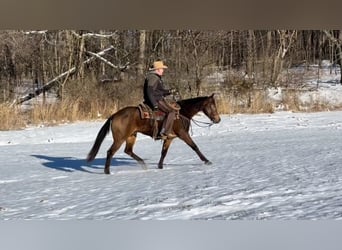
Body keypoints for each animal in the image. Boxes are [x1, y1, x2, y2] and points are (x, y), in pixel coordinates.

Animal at [87, 94, 220, 174]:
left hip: (131, 136)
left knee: (128, 151)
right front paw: (206, 161)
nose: (218, 119)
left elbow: (164, 152)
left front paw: (160, 166)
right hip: (120, 138)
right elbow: (194, 146)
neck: (182, 113)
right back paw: (107, 171)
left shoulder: (169, 138)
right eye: (212, 106)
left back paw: (143, 164)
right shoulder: (183, 134)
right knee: (110, 152)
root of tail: (114, 115)